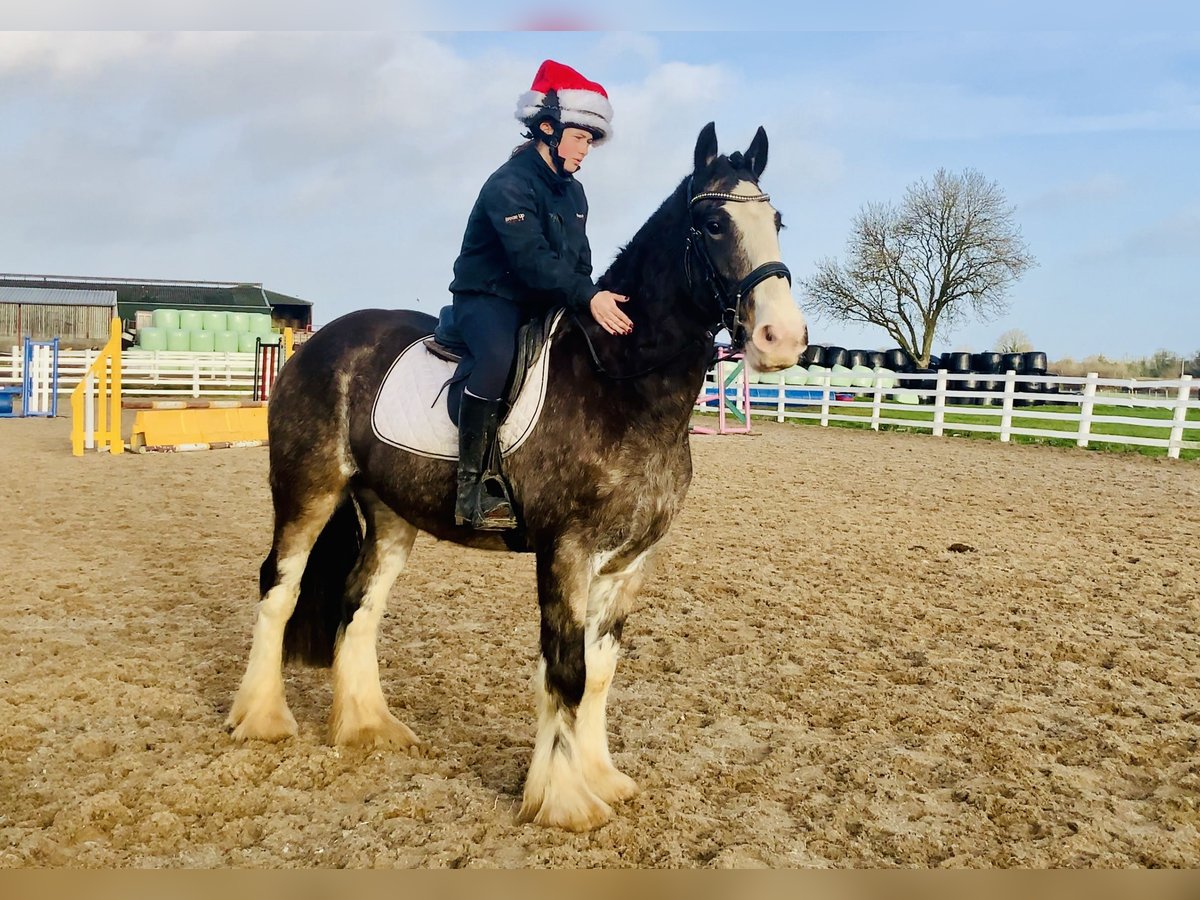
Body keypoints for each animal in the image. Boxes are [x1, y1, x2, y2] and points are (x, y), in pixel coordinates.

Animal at [226, 122, 809, 832]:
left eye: (776, 221)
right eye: (716, 223)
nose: (782, 339)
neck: (621, 383)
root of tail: (317, 342)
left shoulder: (628, 563)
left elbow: (599, 672)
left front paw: (600, 779)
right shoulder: (566, 552)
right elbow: (567, 672)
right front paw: (563, 802)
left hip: (391, 514)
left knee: (360, 602)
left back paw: (367, 726)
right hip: (307, 491)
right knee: (278, 589)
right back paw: (262, 719)